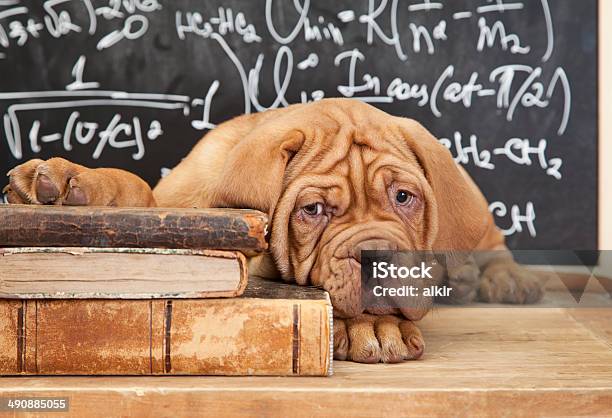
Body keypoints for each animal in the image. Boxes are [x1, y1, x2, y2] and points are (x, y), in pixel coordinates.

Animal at [3, 99, 540, 364]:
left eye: (404, 198)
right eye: (313, 209)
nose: (378, 259)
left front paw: (374, 326)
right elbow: (133, 186)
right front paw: (68, 183)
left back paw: (500, 277)